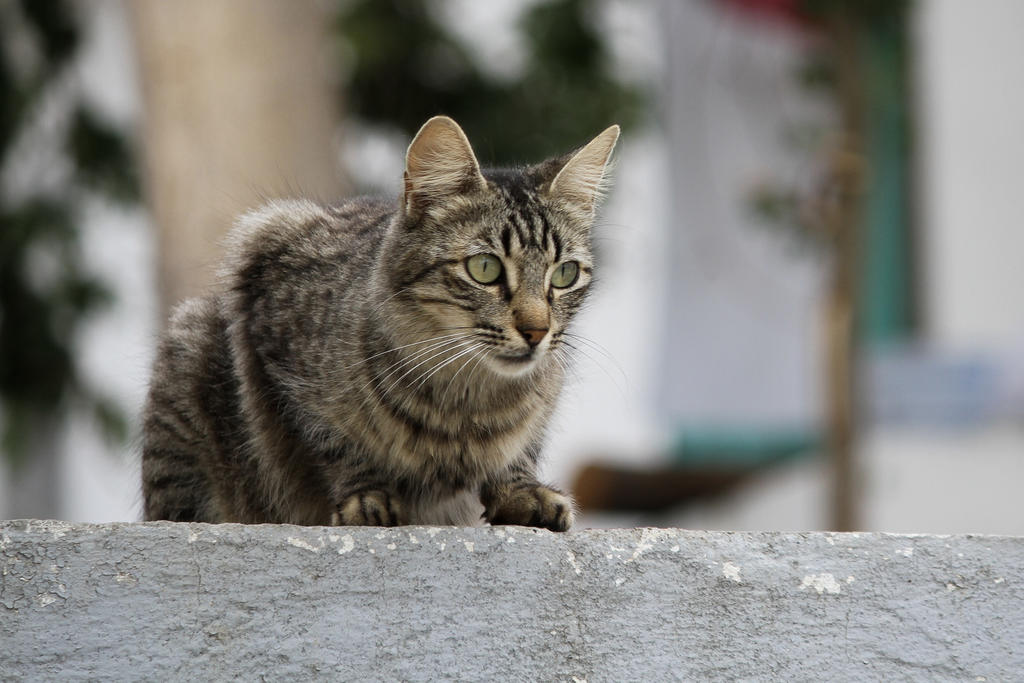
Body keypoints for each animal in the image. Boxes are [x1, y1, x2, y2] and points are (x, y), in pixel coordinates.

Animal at [141, 117, 618, 532]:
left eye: (564, 274)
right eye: (485, 268)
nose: (537, 332)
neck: (465, 401)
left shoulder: (541, 405)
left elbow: (520, 451)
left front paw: (520, 492)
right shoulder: (272, 321)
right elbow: (335, 443)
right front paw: (366, 497)